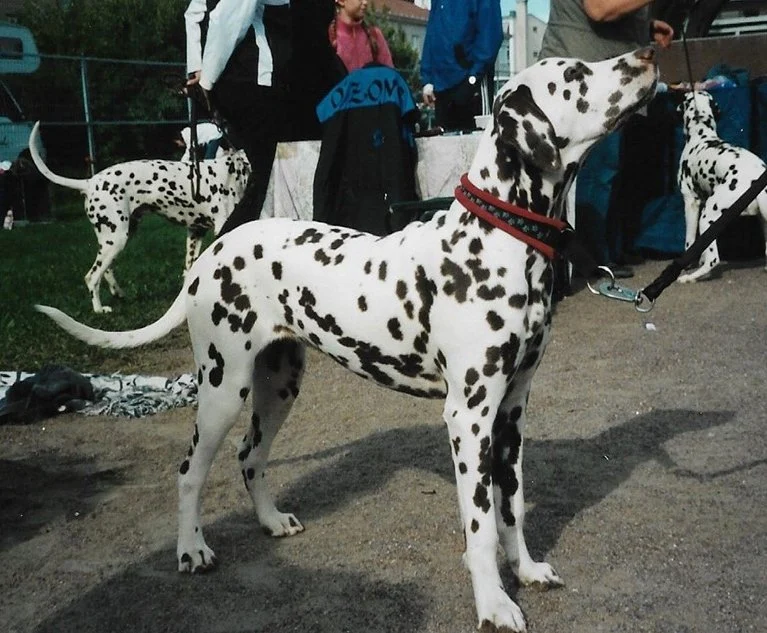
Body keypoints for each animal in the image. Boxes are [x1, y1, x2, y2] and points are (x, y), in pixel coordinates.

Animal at [26, 121, 249, 312]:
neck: (235, 167)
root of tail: (89, 182)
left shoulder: (195, 232)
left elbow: (190, 269)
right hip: (116, 238)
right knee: (92, 277)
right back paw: (99, 309)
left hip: (116, 238)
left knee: (106, 270)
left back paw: (118, 293)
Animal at [680, 89, 767, 282]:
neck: (701, 135)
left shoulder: (691, 202)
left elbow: (690, 241)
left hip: (707, 216)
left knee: (713, 260)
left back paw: (691, 277)